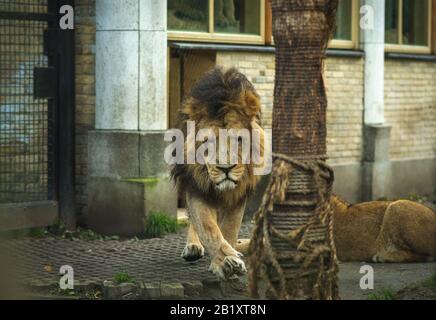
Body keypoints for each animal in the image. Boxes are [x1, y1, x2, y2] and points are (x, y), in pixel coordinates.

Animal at [172, 68, 264, 280]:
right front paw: (225, 262)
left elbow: (230, 227)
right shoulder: (196, 186)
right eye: (209, 141)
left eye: (239, 139)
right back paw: (193, 247)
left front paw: (233, 256)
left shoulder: (239, 194)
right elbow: (208, 227)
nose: (225, 168)